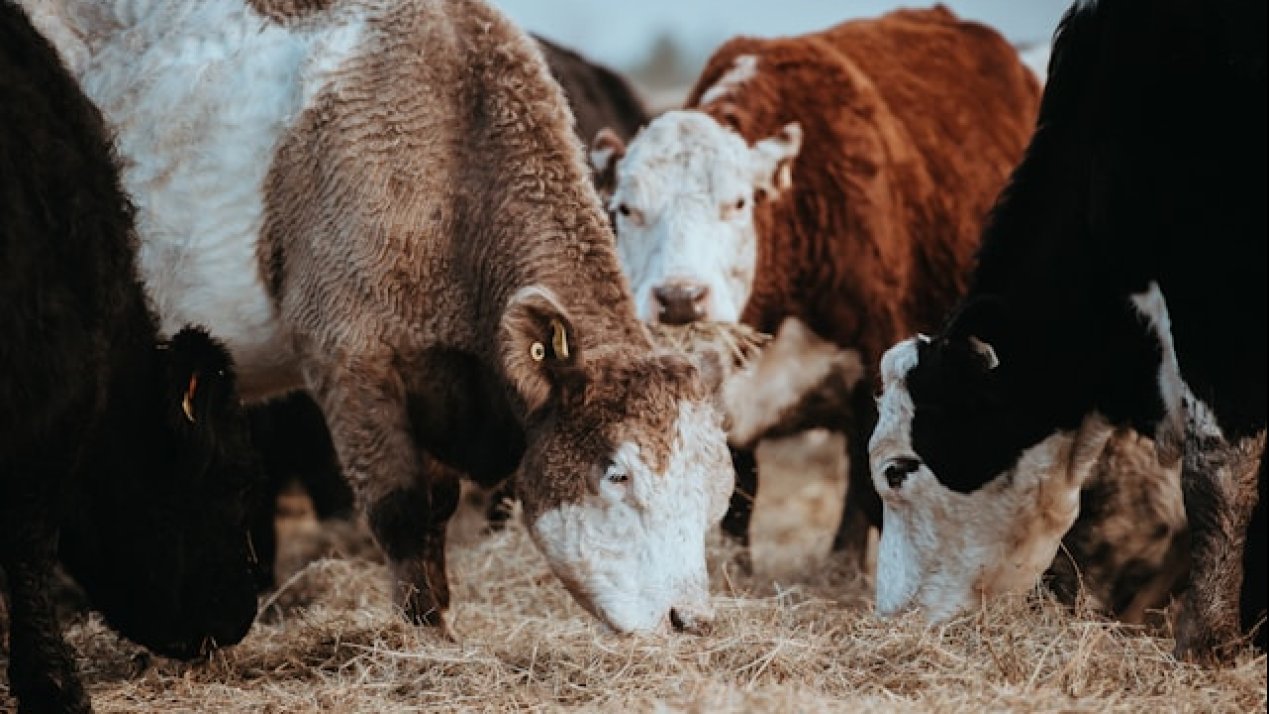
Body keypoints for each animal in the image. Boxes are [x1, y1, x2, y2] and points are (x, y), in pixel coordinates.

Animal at [25, 0, 734, 636]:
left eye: (714, 487)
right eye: (617, 472)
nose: (691, 619)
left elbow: (437, 507)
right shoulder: (348, 359)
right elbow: (400, 508)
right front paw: (424, 635)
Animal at [592, 7, 1041, 566]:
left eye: (738, 203)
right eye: (625, 208)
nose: (679, 299)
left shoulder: (876, 368)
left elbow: (871, 486)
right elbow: (738, 491)